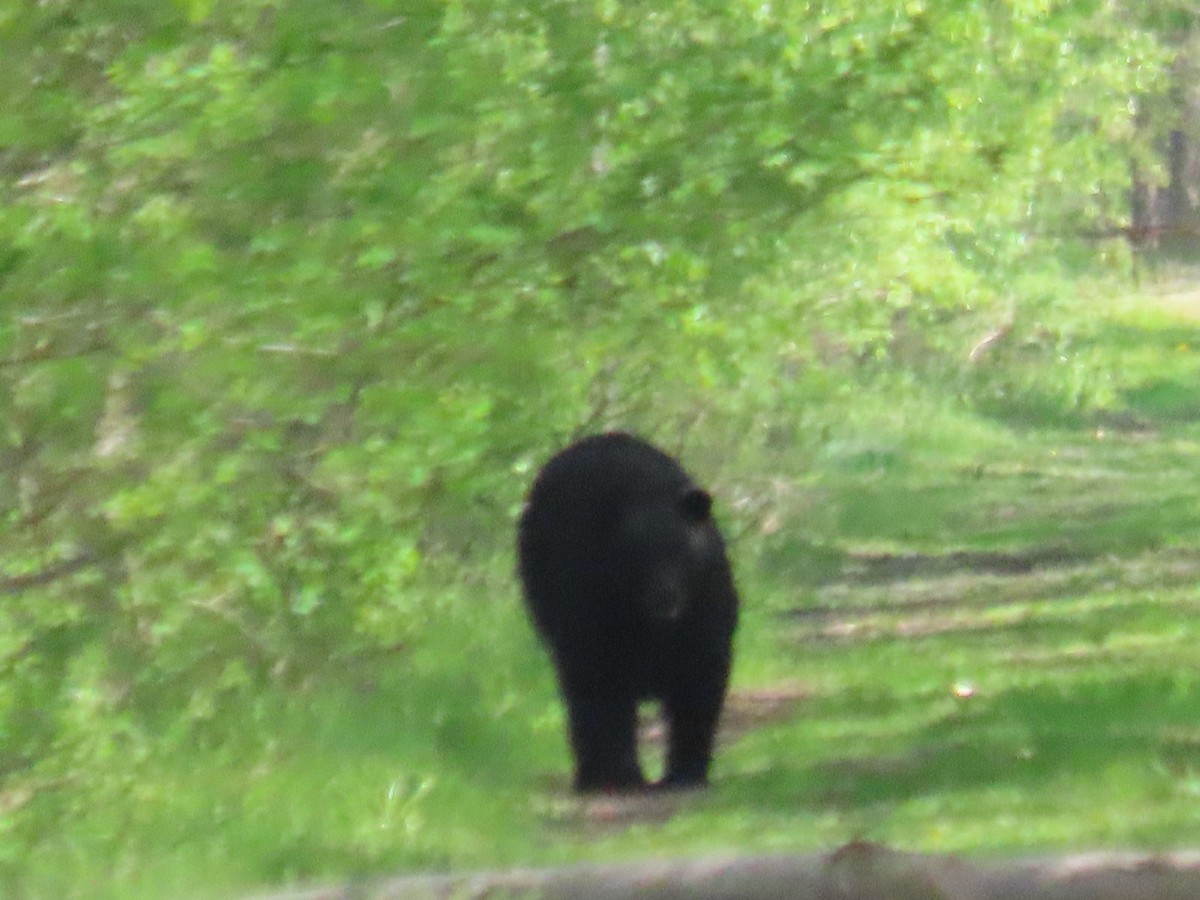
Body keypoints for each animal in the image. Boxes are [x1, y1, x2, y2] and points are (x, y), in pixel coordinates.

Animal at [516, 431, 739, 793]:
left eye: (681, 552)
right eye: (639, 557)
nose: (665, 596)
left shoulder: (704, 606)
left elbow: (701, 678)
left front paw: (686, 771)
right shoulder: (592, 604)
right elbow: (603, 687)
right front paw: (619, 773)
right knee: (580, 688)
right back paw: (592, 774)